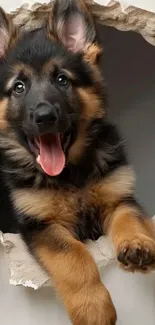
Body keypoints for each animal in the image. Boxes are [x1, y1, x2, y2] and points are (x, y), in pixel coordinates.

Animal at [0, 0, 155, 324]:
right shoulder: (41, 225)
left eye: (62, 80)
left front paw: (137, 244)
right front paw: (93, 308)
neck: (71, 174)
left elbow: (130, 219)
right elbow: (73, 256)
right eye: (19, 87)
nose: (44, 116)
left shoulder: (120, 198)